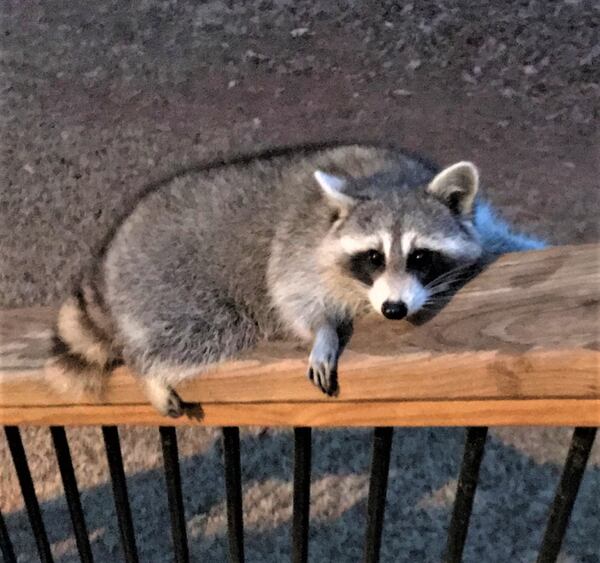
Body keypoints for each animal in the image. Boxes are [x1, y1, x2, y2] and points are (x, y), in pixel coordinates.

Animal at [44, 143, 548, 416]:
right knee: (201, 333)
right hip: (173, 288)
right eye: (372, 257)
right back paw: (149, 368)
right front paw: (323, 330)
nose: (393, 310)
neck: (389, 180)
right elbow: (291, 292)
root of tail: (114, 250)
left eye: (421, 256)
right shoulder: (299, 244)